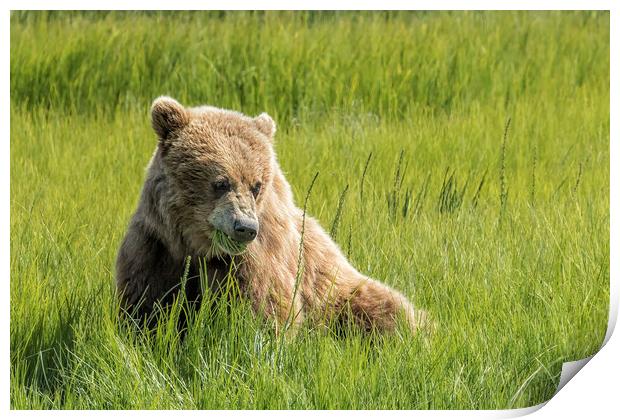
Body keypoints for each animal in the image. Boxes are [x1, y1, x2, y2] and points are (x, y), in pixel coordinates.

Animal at [115, 96, 426, 334]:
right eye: (221, 182)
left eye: (256, 185)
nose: (245, 227)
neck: (199, 248)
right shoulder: (156, 247)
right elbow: (143, 306)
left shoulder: (258, 258)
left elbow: (265, 309)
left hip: (340, 292)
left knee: (388, 309)